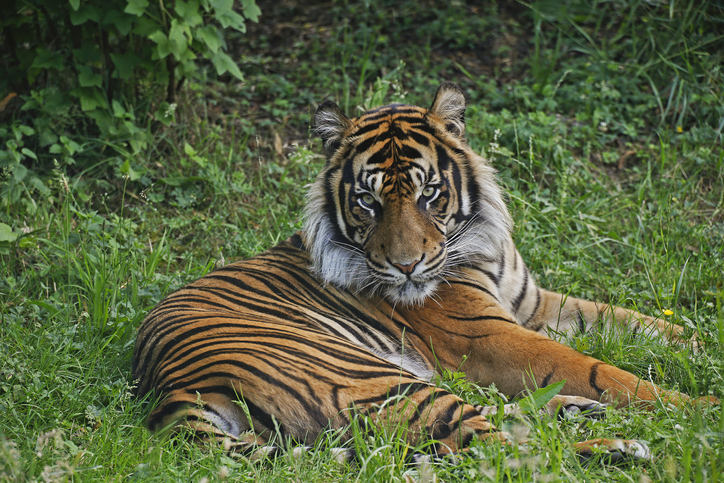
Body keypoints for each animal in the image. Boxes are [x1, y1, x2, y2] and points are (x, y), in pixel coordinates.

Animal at [132, 83, 712, 466]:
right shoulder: (488, 336)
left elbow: (634, 322)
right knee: (505, 455)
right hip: (377, 379)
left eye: (428, 193)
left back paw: (584, 417)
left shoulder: (534, 304)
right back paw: (622, 445)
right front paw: (699, 407)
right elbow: (600, 369)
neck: (477, 246)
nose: (405, 265)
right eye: (366, 202)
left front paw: (701, 347)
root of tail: (169, 390)